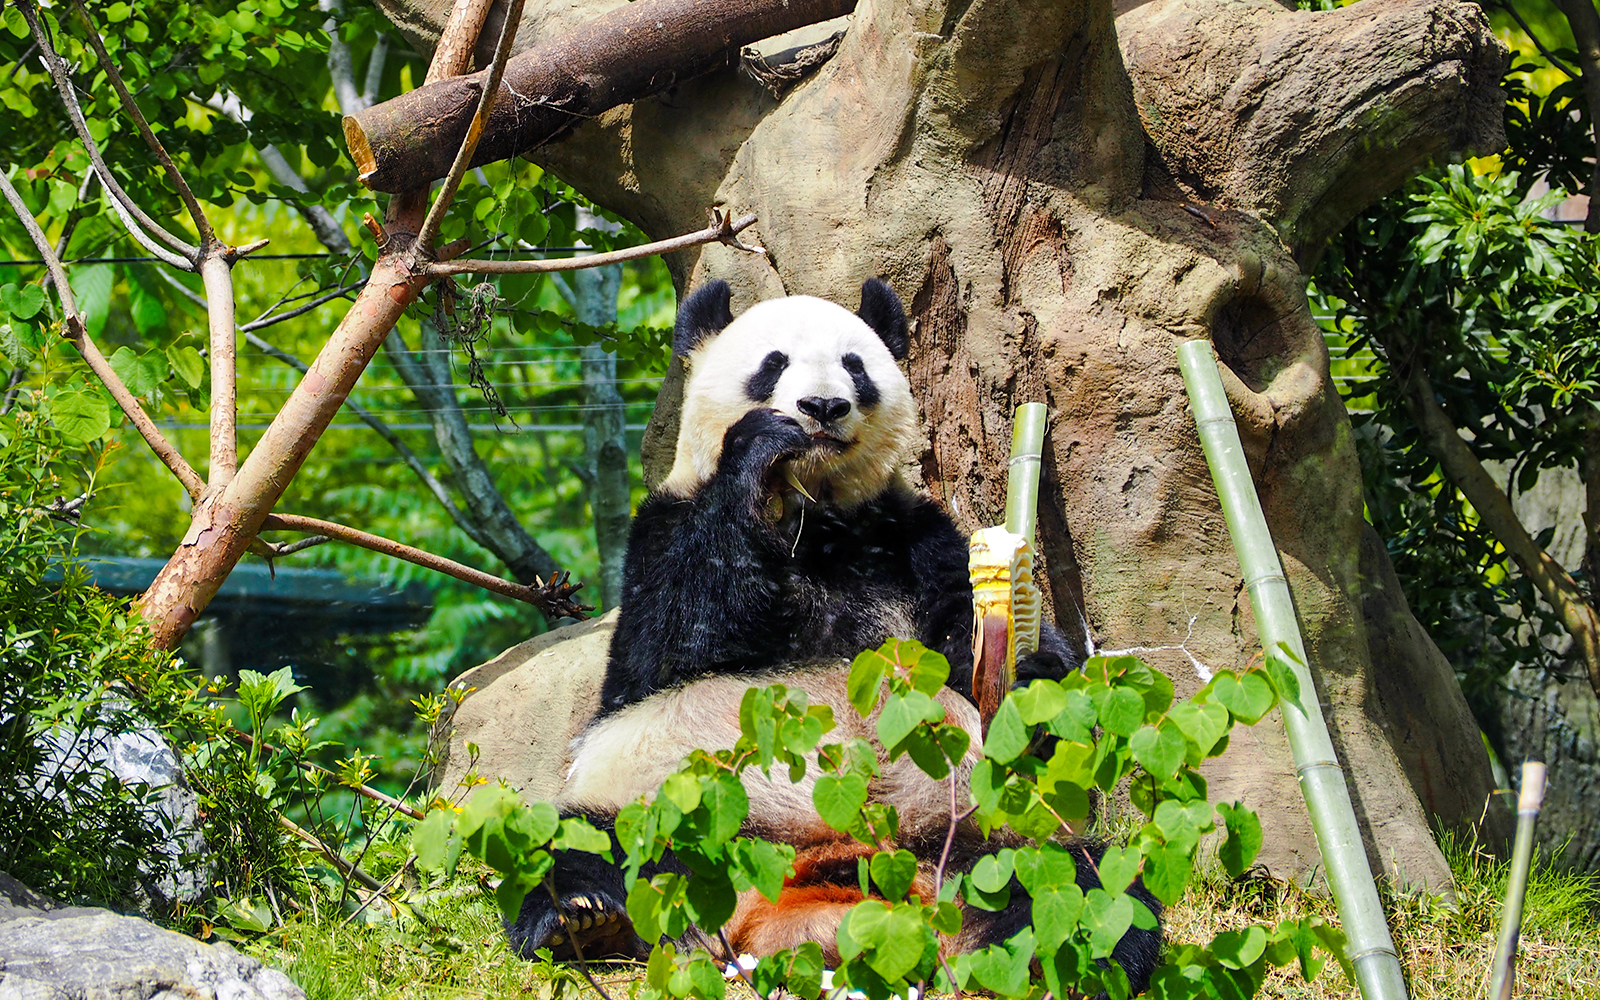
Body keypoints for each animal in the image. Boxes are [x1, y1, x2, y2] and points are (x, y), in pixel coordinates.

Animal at [506, 279, 1162, 992]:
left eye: (856, 366)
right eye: (772, 364)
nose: (822, 406)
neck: (814, 513)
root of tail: (804, 897)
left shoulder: (912, 535)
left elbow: (966, 652)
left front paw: (1036, 671)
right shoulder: (661, 527)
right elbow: (666, 645)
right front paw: (757, 444)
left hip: (973, 836)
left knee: (1084, 883)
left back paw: (1062, 955)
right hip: (667, 801)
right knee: (583, 843)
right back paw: (580, 919)